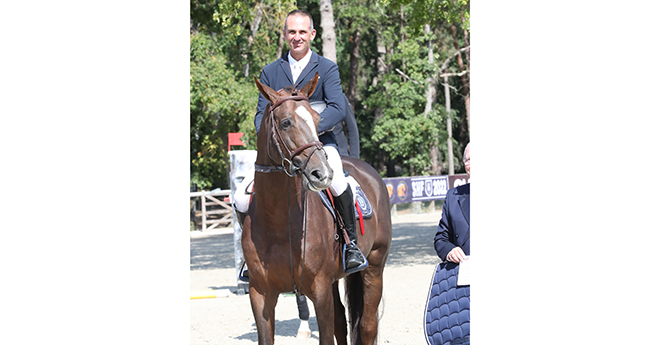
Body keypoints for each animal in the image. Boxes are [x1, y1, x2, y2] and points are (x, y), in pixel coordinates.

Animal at [245, 73, 394, 344]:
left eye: (317, 120)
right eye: (285, 122)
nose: (322, 174)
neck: (279, 220)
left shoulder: (320, 290)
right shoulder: (260, 294)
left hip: (374, 266)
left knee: (367, 325)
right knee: (341, 322)